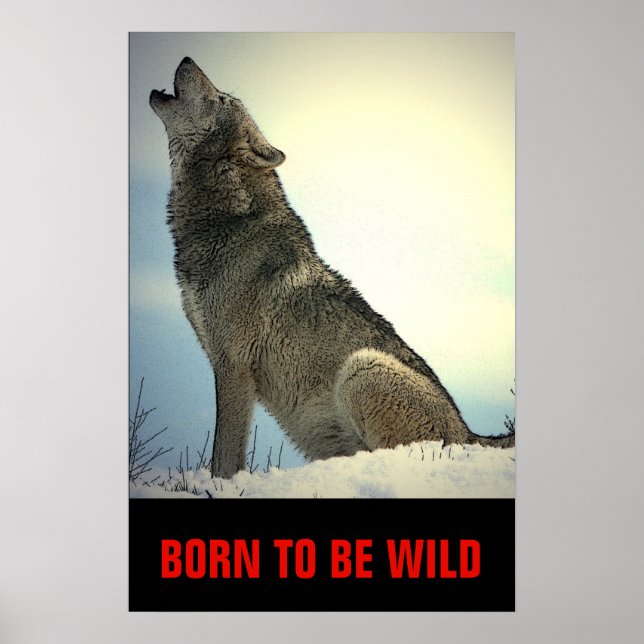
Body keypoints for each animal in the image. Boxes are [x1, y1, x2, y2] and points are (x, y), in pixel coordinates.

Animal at [150, 57, 514, 479]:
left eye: (221, 97)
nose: (187, 59)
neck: (227, 220)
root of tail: (469, 433)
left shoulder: (233, 365)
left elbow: (224, 455)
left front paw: (219, 484)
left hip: (362, 367)